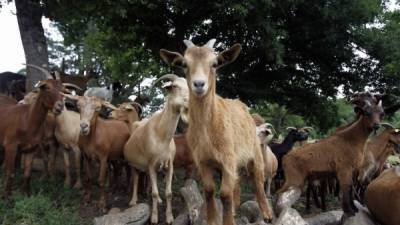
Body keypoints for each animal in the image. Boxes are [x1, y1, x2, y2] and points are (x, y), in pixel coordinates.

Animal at [123, 74, 189, 224]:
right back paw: (133, 201)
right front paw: (154, 218)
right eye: (174, 86)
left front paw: (169, 217)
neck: (161, 135)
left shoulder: (169, 165)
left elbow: (168, 193)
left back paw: (158, 200)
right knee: (136, 179)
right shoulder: (151, 164)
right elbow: (154, 192)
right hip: (134, 165)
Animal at [161, 39, 274, 224]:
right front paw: (212, 219)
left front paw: (228, 221)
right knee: (237, 183)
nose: (199, 84)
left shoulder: (228, 160)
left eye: (214, 64)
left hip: (255, 154)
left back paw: (267, 214)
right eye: (184, 64)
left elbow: (225, 194)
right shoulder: (203, 161)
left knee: (258, 180)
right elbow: (209, 191)